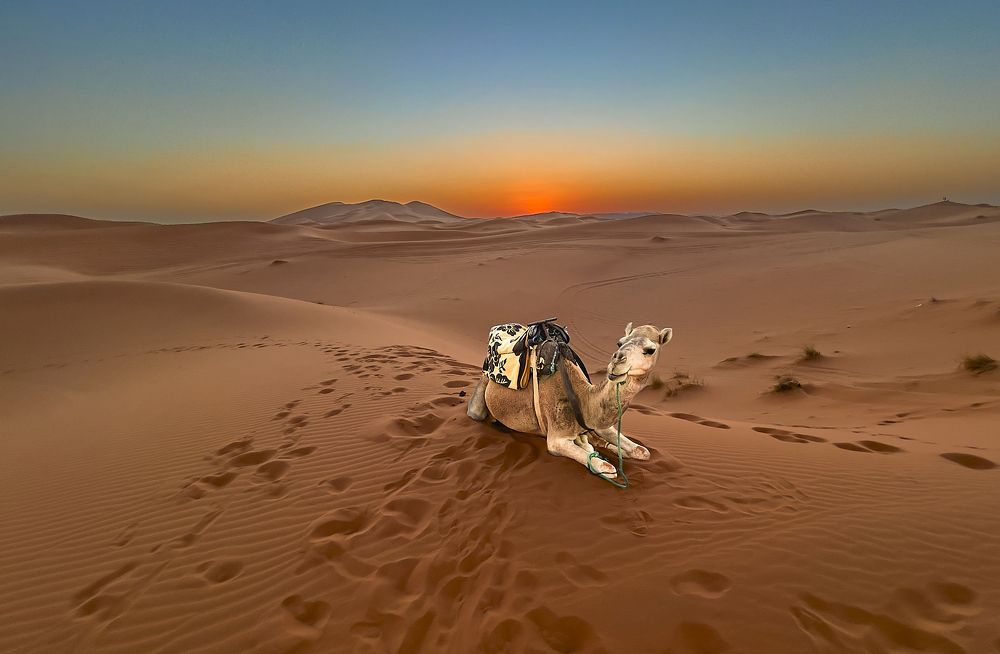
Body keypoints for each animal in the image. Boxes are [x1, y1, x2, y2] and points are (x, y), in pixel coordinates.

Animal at [467, 322, 672, 478]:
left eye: (650, 350)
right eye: (619, 342)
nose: (617, 361)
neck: (583, 398)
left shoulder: (599, 424)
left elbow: (643, 452)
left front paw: (615, 448)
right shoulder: (556, 439)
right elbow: (605, 467)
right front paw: (603, 455)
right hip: (483, 383)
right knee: (476, 412)